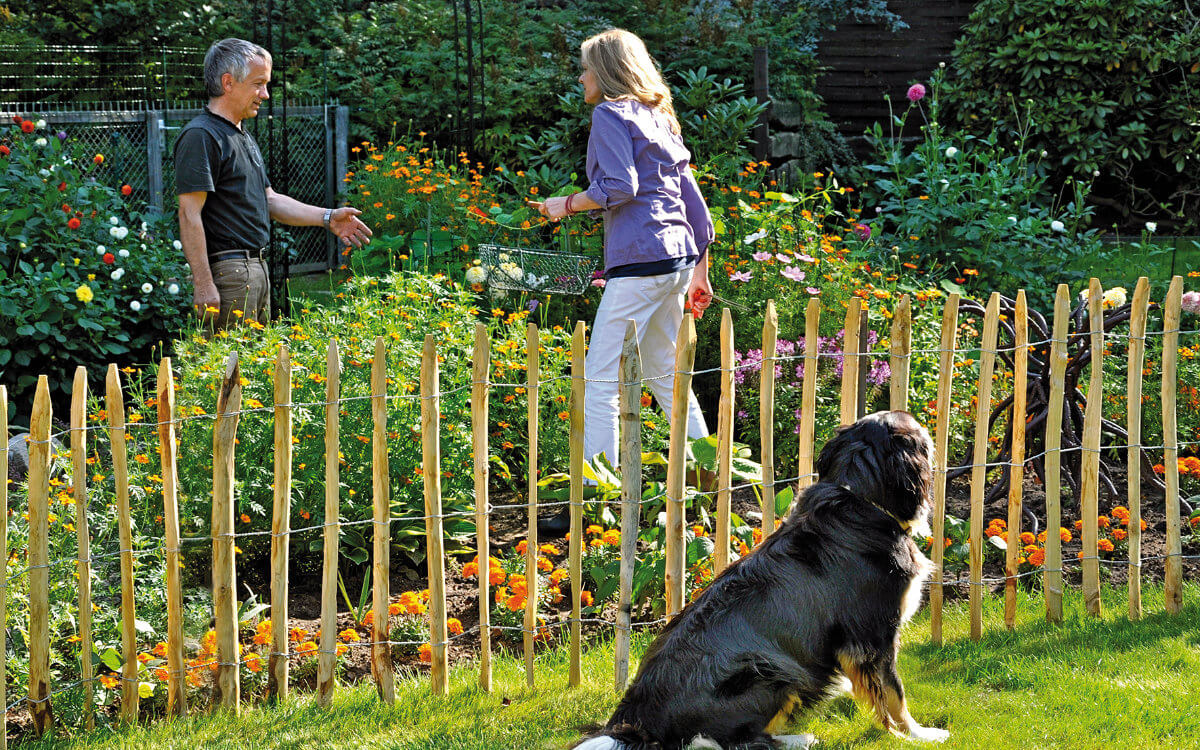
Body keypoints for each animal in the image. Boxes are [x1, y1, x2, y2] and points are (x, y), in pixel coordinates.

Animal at [576, 410, 950, 748]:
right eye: (918, 429)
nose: (930, 429)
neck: (859, 498)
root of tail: (637, 722)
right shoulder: (873, 636)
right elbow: (894, 693)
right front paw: (918, 735)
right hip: (769, 671)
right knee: (728, 741)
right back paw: (801, 738)